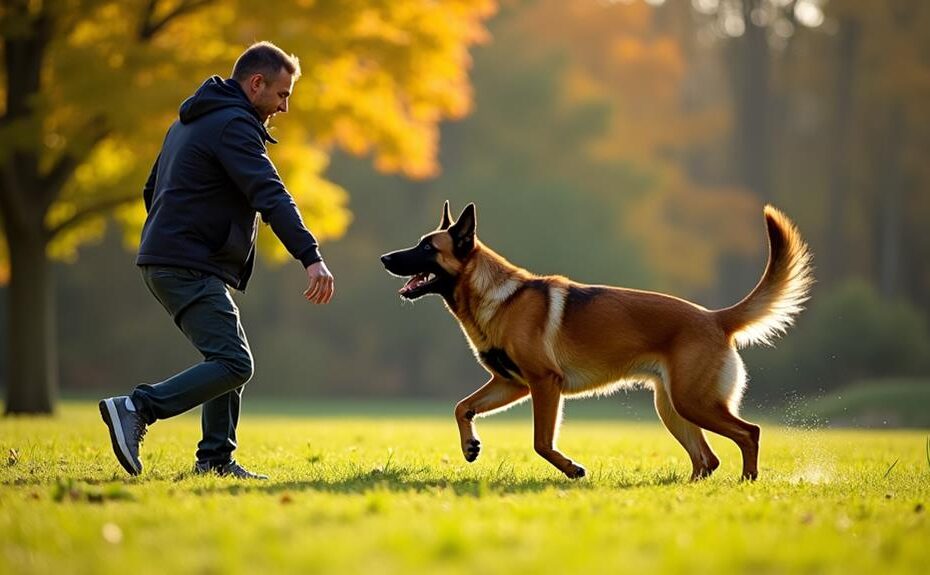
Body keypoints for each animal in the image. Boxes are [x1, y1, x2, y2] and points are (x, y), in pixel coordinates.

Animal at [380, 202, 808, 482]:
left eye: (427, 247)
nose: (385, 258)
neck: (498, 298)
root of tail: (715, 317)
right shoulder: (511, 384)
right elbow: (461, 407)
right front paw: (470, 446)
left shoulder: (544, 384)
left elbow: (541, 442)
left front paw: (572, 469)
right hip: (673, 407)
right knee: (707, 460)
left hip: (693, 402)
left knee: (748, 433)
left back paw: (748, 482)